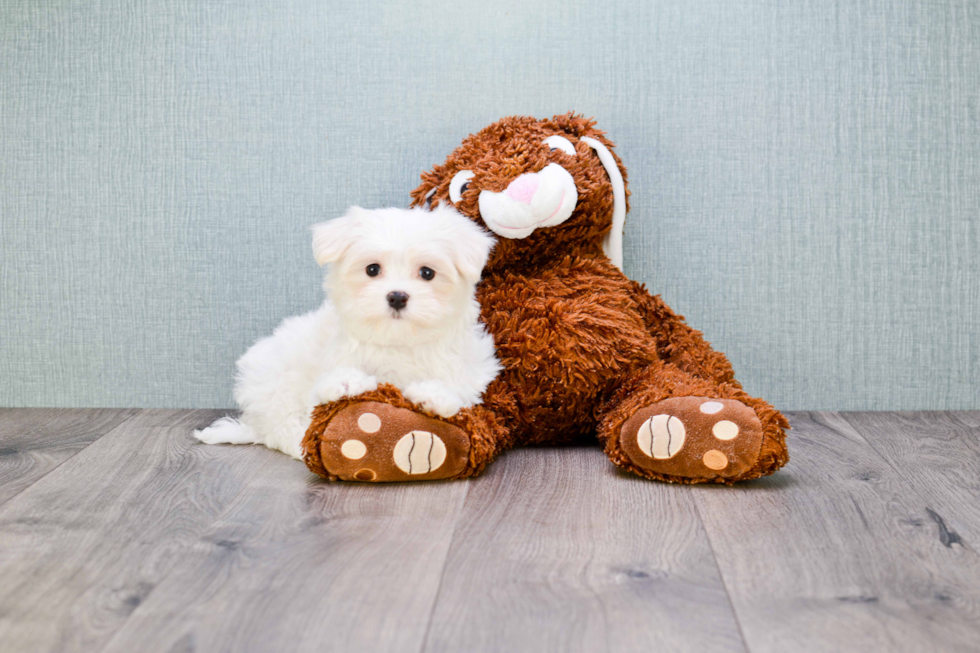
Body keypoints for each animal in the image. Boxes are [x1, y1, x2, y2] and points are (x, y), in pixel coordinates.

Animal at [193, 205, 498, 458]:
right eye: (372, 269)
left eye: (427, 273)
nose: (397, 296)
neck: (397, 341)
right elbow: (322, 394)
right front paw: (347, 382)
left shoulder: (471, 366)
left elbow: (461, 390)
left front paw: (434, 394)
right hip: (275, 376)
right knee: (282, 426)